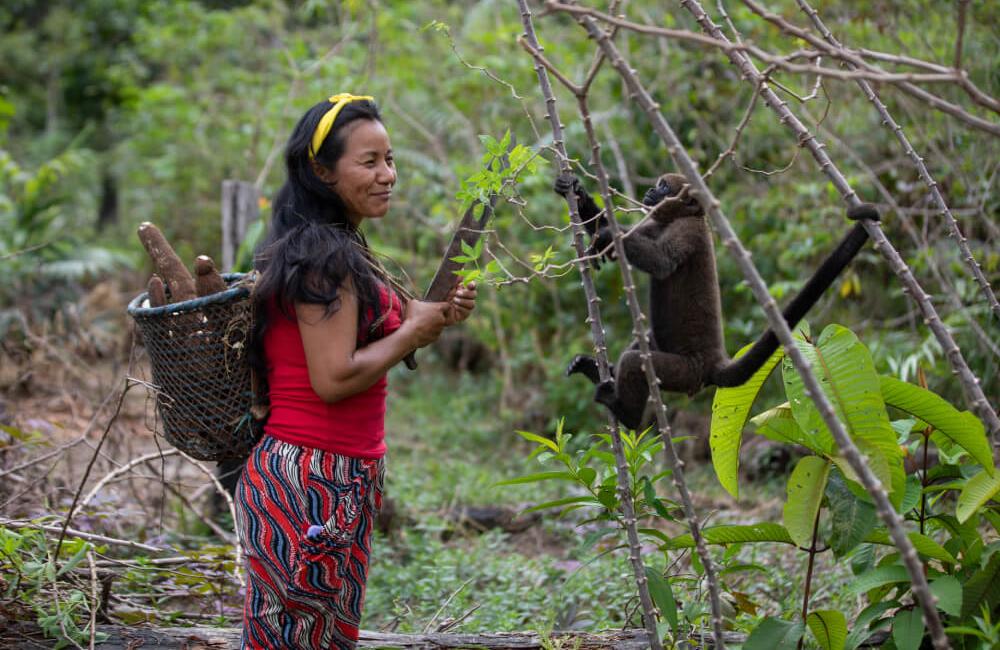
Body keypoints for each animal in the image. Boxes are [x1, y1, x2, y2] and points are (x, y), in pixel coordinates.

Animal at [560, 173, 880, 430]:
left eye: (664, 186)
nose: (651, 190)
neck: (680, 216)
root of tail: (713, 364)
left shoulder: (688, 231)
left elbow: (661, 262)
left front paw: (605, 236)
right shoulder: (654, 223)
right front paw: (576, 191)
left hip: (685, 372)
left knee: (636, 361)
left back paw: (625, 414)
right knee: (643, 342)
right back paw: (600, 372)